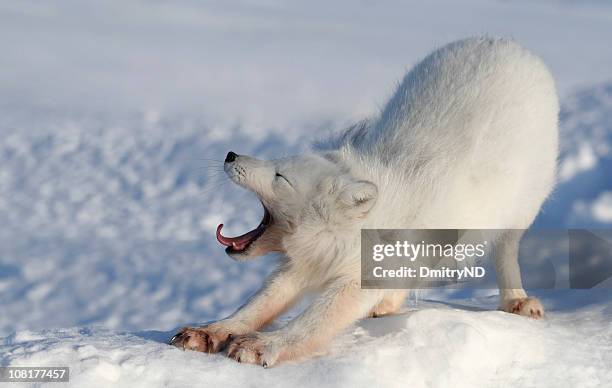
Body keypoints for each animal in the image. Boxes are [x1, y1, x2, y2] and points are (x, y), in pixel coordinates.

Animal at [170, 37, 556, 366]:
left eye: (280, 176)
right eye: (276, 162)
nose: (231, 154)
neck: (344, 233)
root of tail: (504, 42)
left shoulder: (358, 275)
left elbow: (316, 320)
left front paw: (265, 345)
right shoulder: (305, 265)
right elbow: (258, 305)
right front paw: (210, 331)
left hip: (519, 211)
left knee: (506, 250)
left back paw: (517, 300)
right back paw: (387, 306)